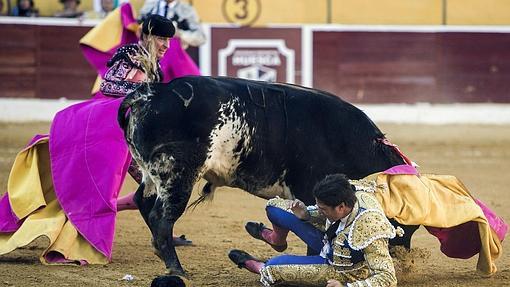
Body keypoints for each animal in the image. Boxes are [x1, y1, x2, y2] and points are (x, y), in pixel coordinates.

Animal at [118, 76, 418, 286]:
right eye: (400, 225)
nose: (404, 263)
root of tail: (151, 93)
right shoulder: (309, 192)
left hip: (152, 173)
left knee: (142, 202)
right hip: (178, 174)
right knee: (161, 216)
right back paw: (176, 268)